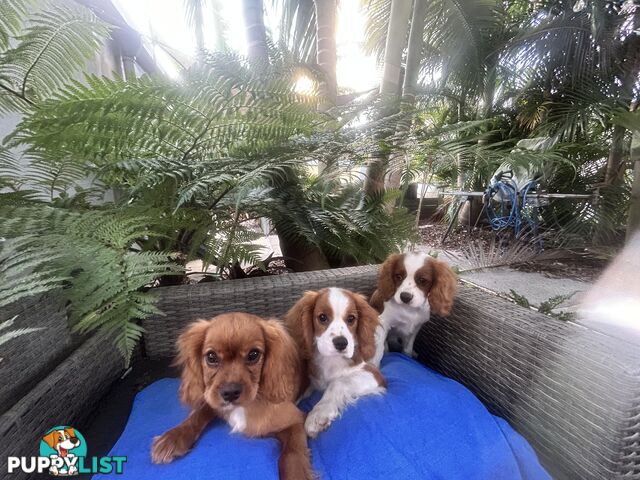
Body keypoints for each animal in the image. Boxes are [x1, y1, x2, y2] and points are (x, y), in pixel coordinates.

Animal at [153, 314, 318, 480]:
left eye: (253, 354)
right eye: (211, 357)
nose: (230, 393)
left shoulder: (296, 420)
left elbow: (291, 454)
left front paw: (296, 473)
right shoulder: (212, 398)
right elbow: (197, 414)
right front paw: (172, 438)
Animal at [284, 286, 384, 440]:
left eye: (351, 319)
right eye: (322, 317)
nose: (341, 343)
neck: (331, 360)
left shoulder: (374, 374)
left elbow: (338, 382)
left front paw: (318, 413)